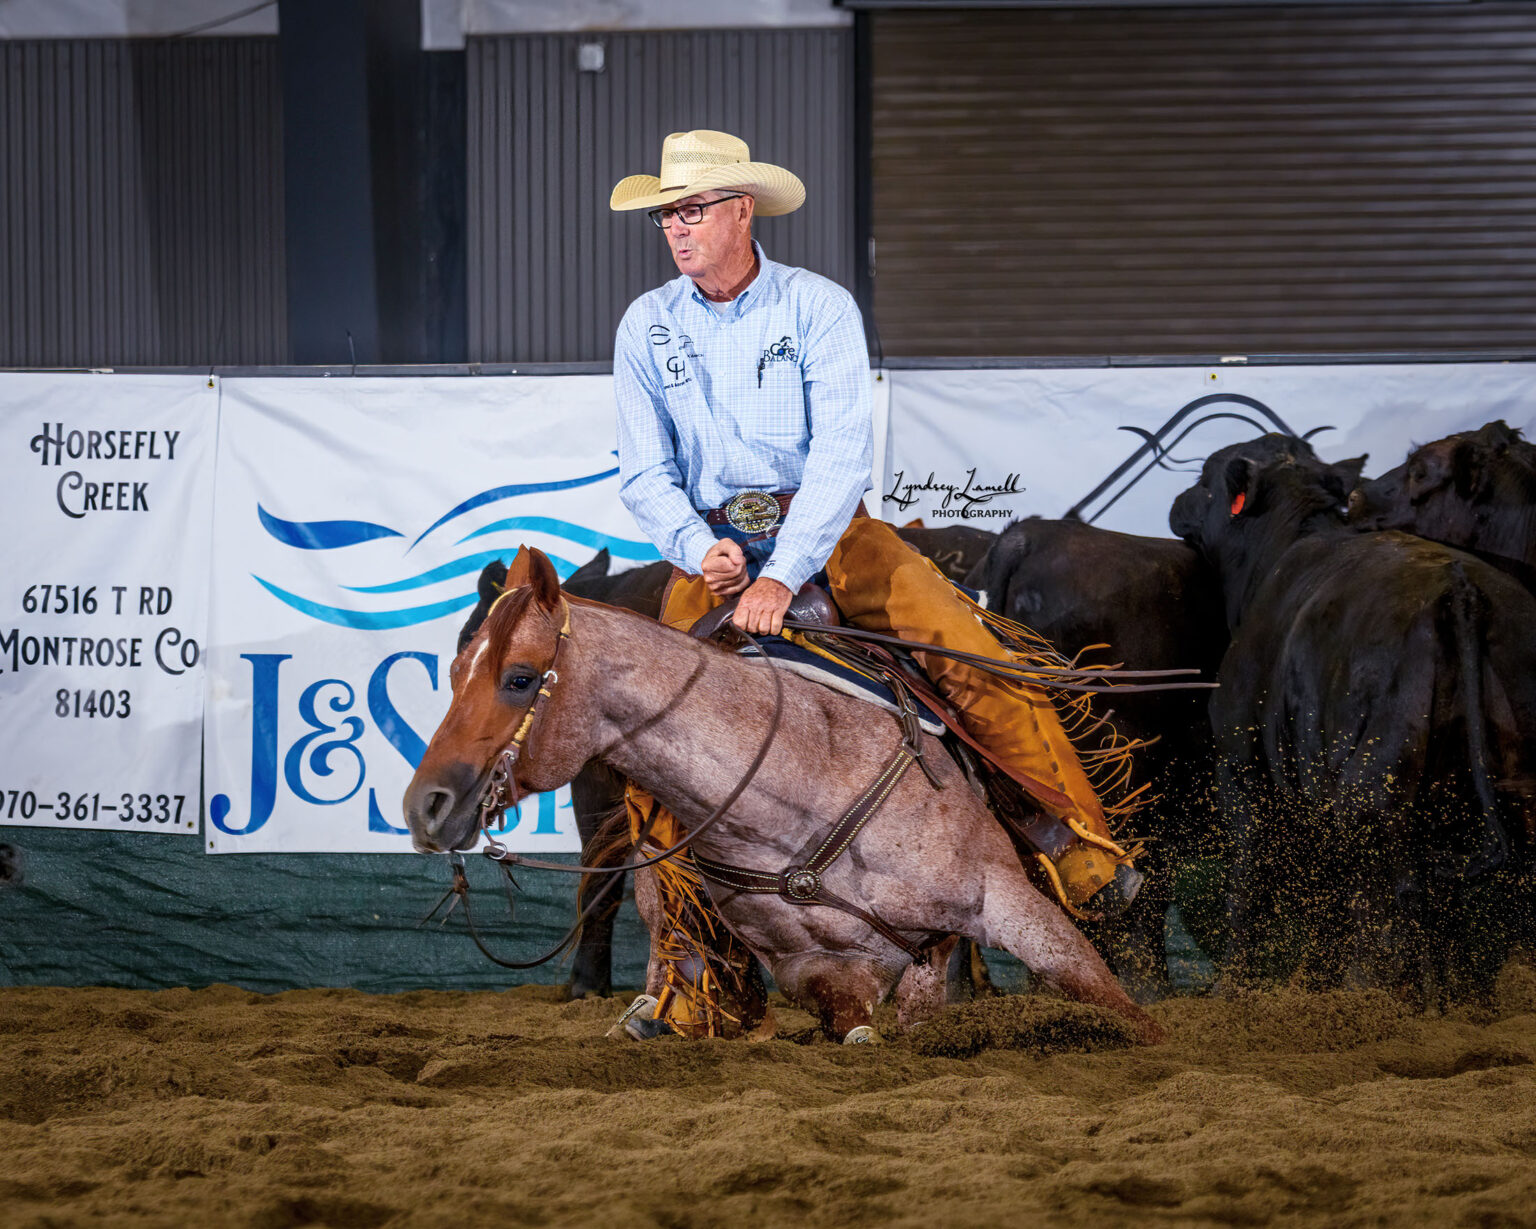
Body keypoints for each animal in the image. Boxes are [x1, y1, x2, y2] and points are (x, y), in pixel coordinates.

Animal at [408, 553, 1161, 1044]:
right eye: (453, 667)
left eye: (519, 677)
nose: (424, 805)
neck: (796, 796)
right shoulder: (825, 973)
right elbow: (859, 1031)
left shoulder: (1005, 900)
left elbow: (1118, 1007)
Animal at [1167, 433, 1529, 995]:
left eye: (1205, 481)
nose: (1177, 502)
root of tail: (1459, 588)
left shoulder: (1241, 771)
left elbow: (1248, 887)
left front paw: (1233, 986)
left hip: (1369, 795)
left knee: (1385, 911)